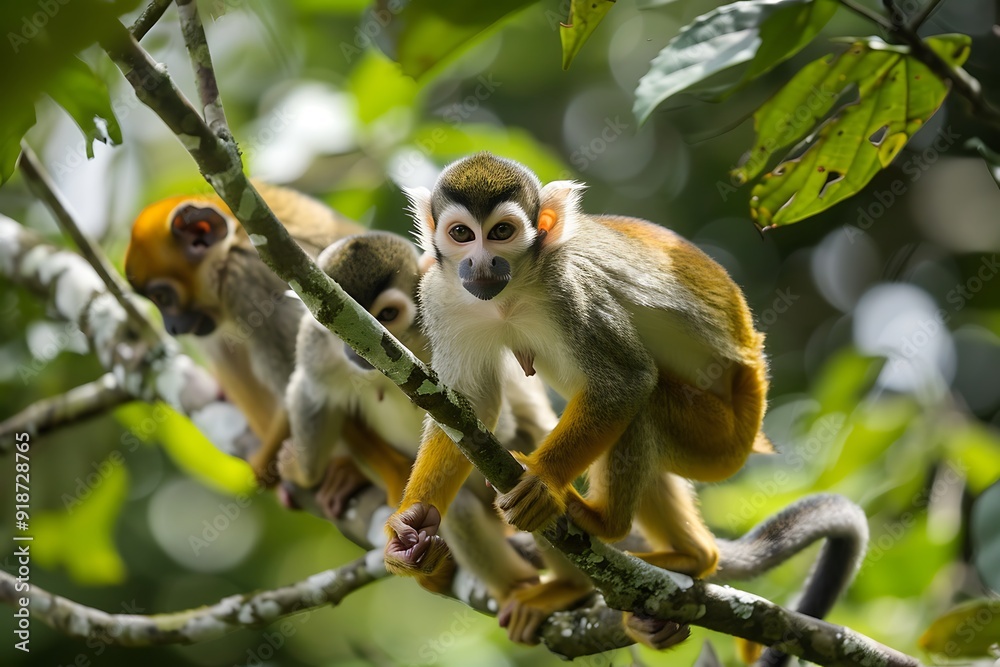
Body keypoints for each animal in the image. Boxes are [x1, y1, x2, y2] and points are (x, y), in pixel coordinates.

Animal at [124, 183, 363, 484]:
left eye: (162, 298)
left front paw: (268, 462)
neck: (231, 246)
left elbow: (301, 378)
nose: (171, 327)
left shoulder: (246, 279)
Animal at [279, 231, 562, 598]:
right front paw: (303, 471)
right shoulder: (315, 342)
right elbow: (312, 392)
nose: (356, 349)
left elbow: (490, 419)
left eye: (386, 313)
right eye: (335, 322)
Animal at [384, 151, 777, 647]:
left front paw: (544, 481)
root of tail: (755, 369)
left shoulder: (572, 290)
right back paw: (693, 557)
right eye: (461, 234)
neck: (514, 290)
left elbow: (626, 381)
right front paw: (412, 523)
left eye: (501, 232)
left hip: (720, 440)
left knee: (645, 402)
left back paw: (606, 525)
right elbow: (468, 406)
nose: (480, 261)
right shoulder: (441, 294)